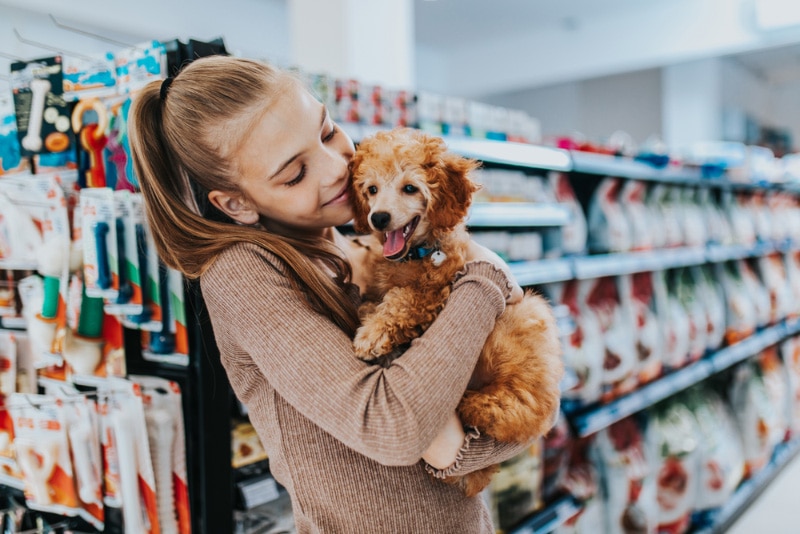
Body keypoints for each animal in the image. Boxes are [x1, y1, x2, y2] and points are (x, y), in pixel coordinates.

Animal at [348, 126, 564, 498]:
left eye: (410, 187)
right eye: (371, 190)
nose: (378, 218)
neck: (417, 254)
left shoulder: (437, 291)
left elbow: (404, 299)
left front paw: (372, 334)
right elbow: (382, 296)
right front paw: (367, 309)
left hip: (524, 325)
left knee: (517, 408)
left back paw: (474, 404)